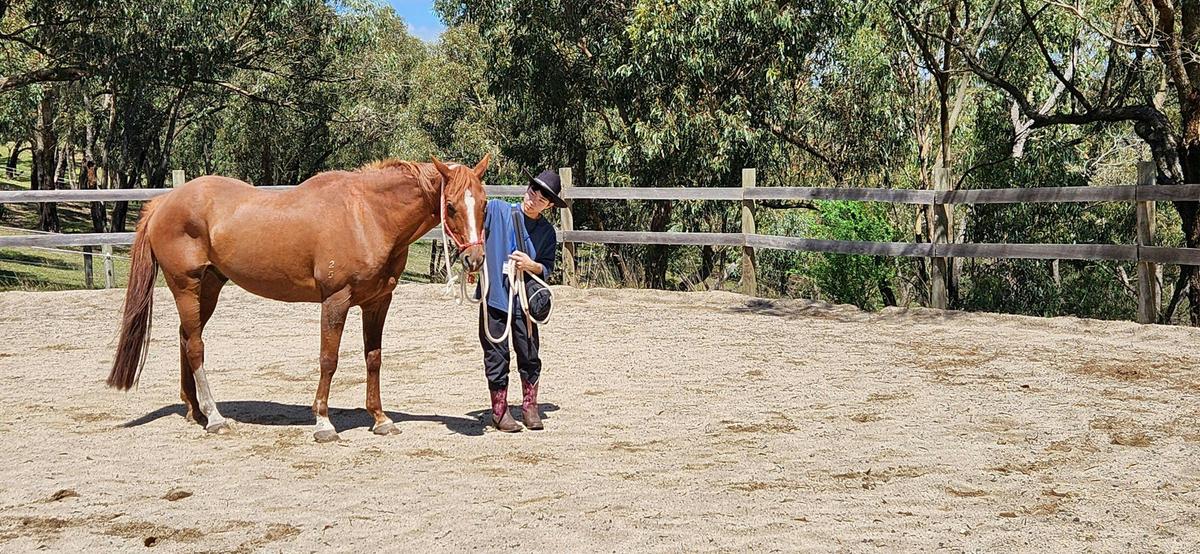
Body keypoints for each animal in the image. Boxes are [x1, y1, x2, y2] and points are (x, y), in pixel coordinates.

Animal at [106, 155, 489, 443]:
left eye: (485, 203)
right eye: (450, 206)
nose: (475, 260)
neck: (368, 215)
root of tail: (163, 202)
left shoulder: (378, 302)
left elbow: (374, 359)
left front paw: (380, 419)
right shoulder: (336, 301)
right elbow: (329, 360)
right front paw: (323, 423)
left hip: (209, 287)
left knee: (187, 338)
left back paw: (194, 410)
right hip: (185, 286)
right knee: (196, 346)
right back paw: (215, 417)